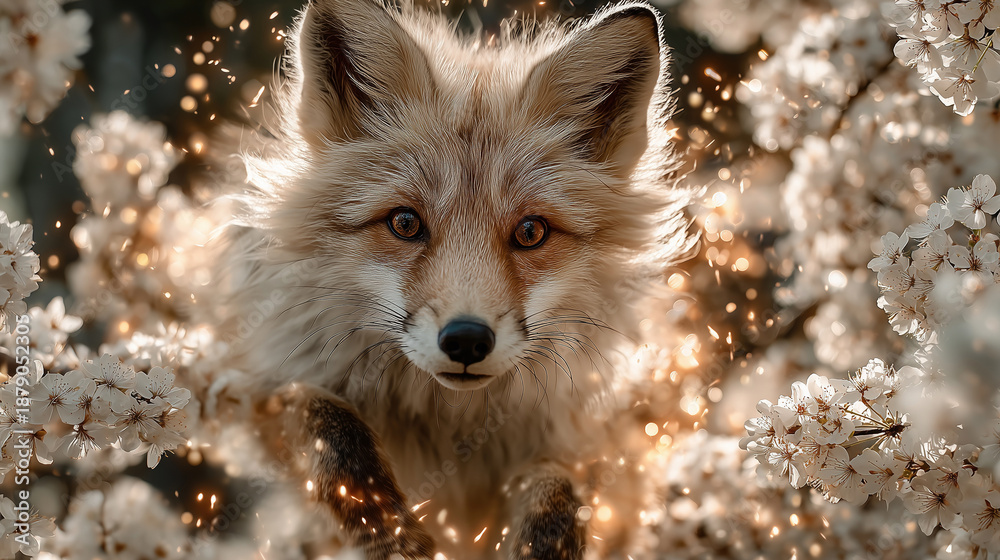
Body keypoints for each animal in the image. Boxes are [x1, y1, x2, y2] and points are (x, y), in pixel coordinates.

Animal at [214, 0, 692, 558]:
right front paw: (391, 534)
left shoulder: (600, 443)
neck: (450, 423)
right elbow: (327, 427)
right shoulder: (256, 387)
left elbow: (558, 494)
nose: (466, 340)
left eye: (531, 232)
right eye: (405, 223)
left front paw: (542, 542)